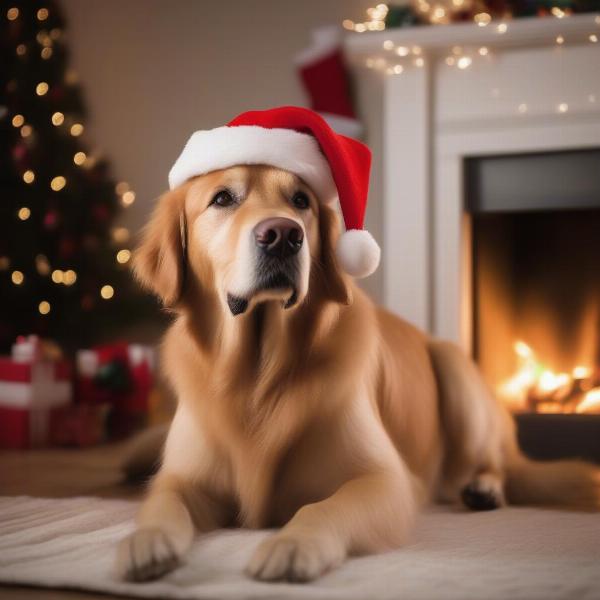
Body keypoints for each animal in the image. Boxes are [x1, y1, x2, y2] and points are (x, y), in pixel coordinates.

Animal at [117, 163, 600, 580]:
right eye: (222, 198)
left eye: (300, 200)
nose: (283, 235)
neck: (257, 374)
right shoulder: (183, 478)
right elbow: (160, 503)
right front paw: (145, 540)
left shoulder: (383, 481)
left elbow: (320, 508)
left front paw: (291, 545)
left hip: (455, 372)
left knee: (494, 464)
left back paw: (485, 488)